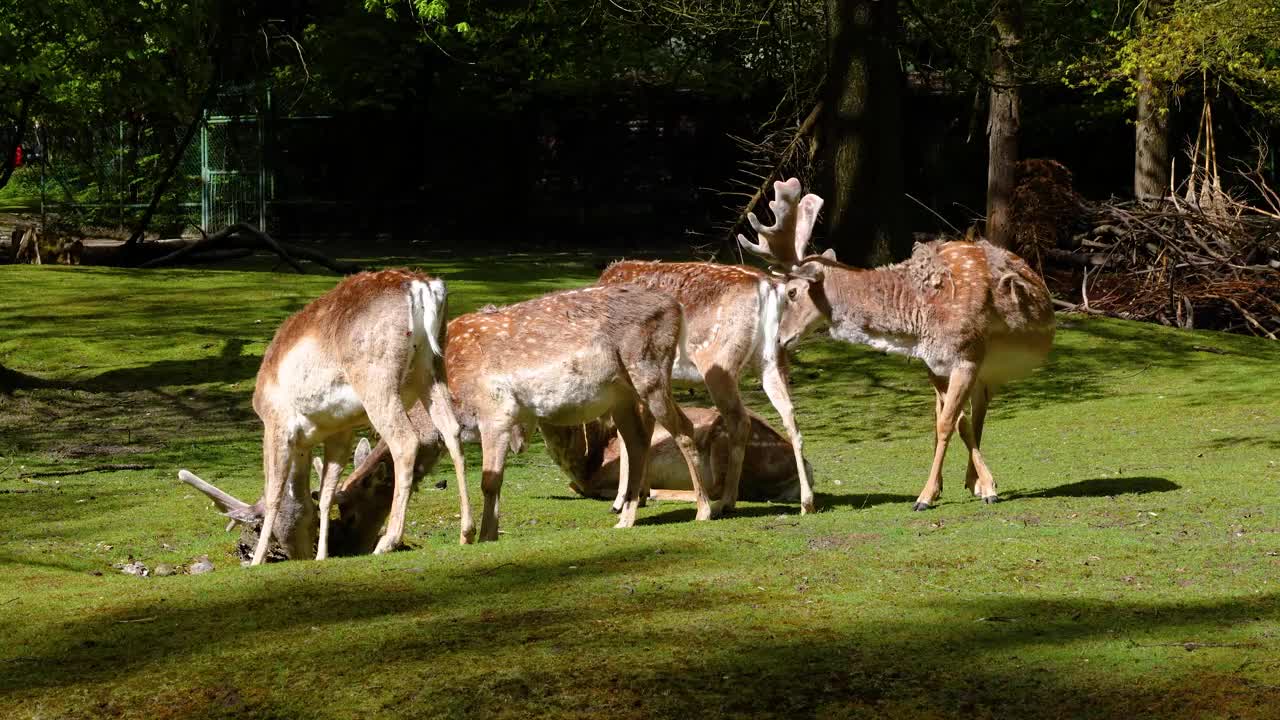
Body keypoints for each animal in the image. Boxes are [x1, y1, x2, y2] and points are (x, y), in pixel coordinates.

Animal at [593, 179, 824, 515]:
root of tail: (769, 285)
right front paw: (641, 494)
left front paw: (621, 500)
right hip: (773, 358)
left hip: (719, 362)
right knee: (791, 415)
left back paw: (726, 501)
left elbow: (629, 437)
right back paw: (807, 503)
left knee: (739, 421)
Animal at [737, 179, 1054, 507]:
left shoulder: (967, 356)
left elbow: (950, 423)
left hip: (987, 367)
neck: (920, 319)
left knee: (977, 410)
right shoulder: (934, 364)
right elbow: (954, 421)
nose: (779, 338)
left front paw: (944, 494)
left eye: (792, 292)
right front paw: (951, 488)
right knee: (964, 413)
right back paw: (968, 482)